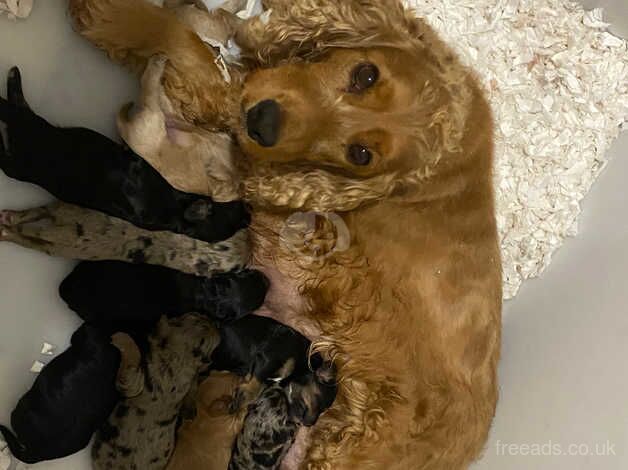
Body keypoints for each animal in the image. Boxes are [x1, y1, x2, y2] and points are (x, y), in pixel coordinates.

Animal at [92, 312, 221, 470]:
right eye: (196, 316)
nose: (216, 323)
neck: (177, 359)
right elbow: (192, 390)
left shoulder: (133, 382)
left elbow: (133, 361)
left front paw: (121, 338)